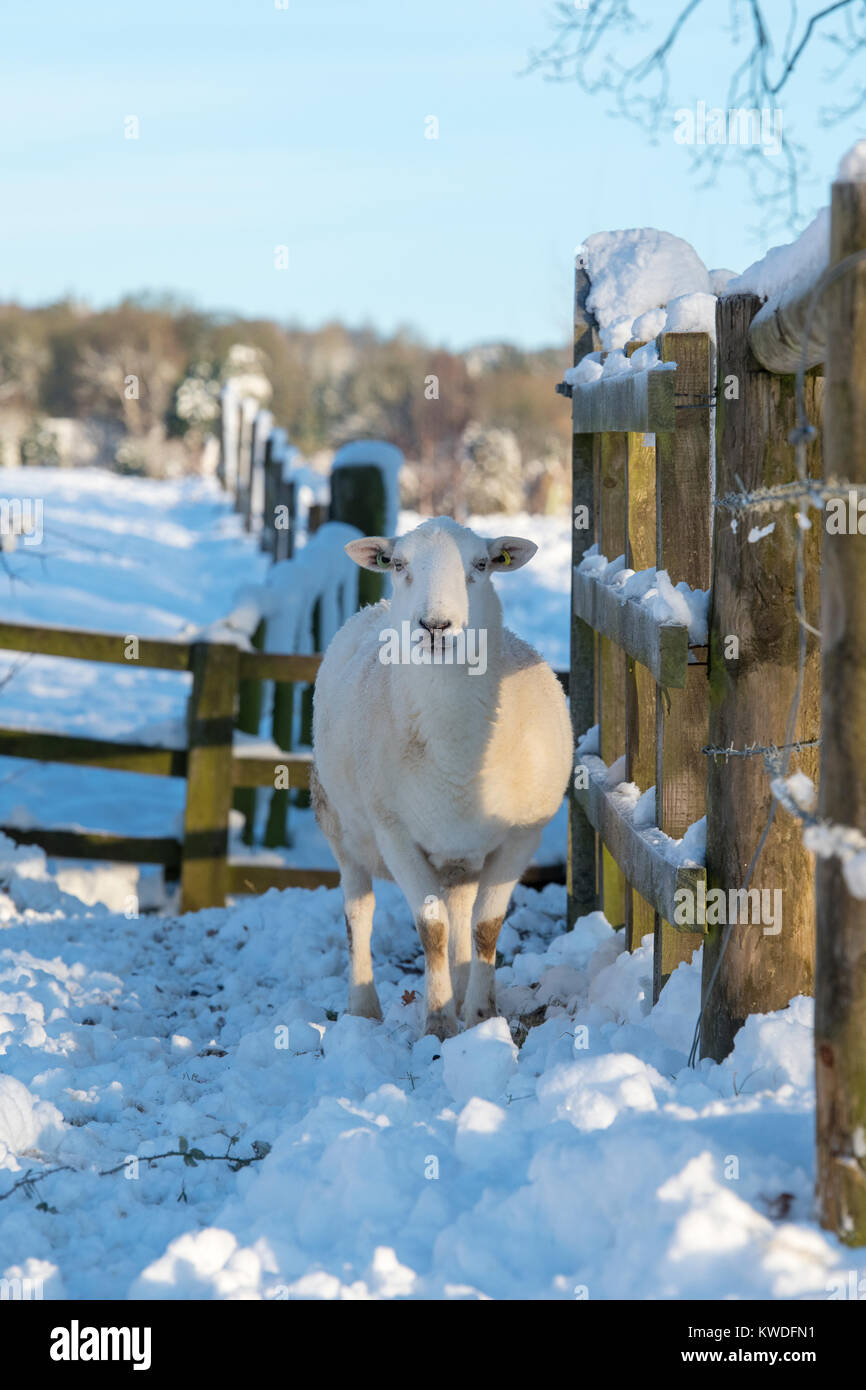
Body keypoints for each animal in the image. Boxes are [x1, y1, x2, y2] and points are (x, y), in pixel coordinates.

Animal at [311, 517, 575, 1039]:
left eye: (483, 564)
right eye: (397, 564)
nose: (435, 627)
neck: (457, 756)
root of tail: (375, 609)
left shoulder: (521, 837)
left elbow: (484, 927)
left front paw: (479, 1016)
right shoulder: (395, 833)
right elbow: (431, 928)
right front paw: (437, 1021)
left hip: (460, 855)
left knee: (460, 911)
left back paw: (461, 983)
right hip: (340, 826)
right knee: (359, 912)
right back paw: (363, 1008)